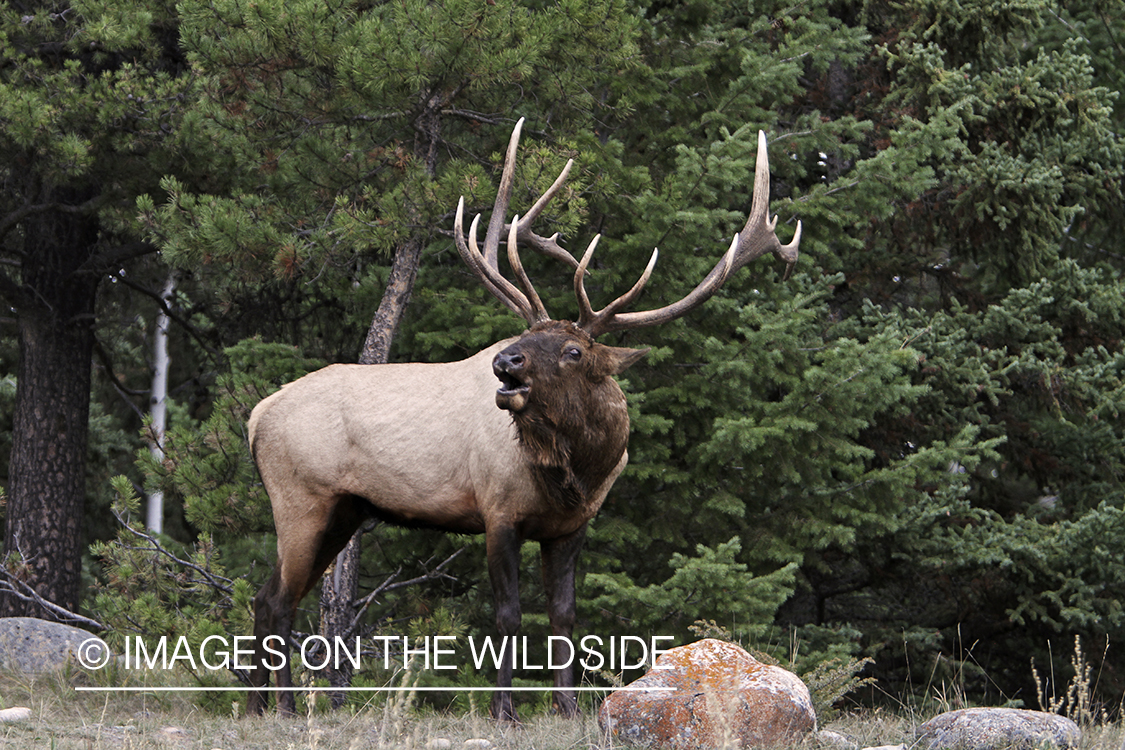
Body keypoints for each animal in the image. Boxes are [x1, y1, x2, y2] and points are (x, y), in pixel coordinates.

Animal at [250, 118, 805, 719]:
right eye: (524, 335)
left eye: (574, 351)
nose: (505, 361)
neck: (576, 472)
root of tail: (256, 417)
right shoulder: (497, 510)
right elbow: (508, 617)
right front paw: (504, 712)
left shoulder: (573, 526)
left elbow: (564, 617)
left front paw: (568, 708)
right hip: (302, 496)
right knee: (278, 599)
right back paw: (282, 709)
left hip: (345, 509)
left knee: (265, 596)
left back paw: (258, 707)